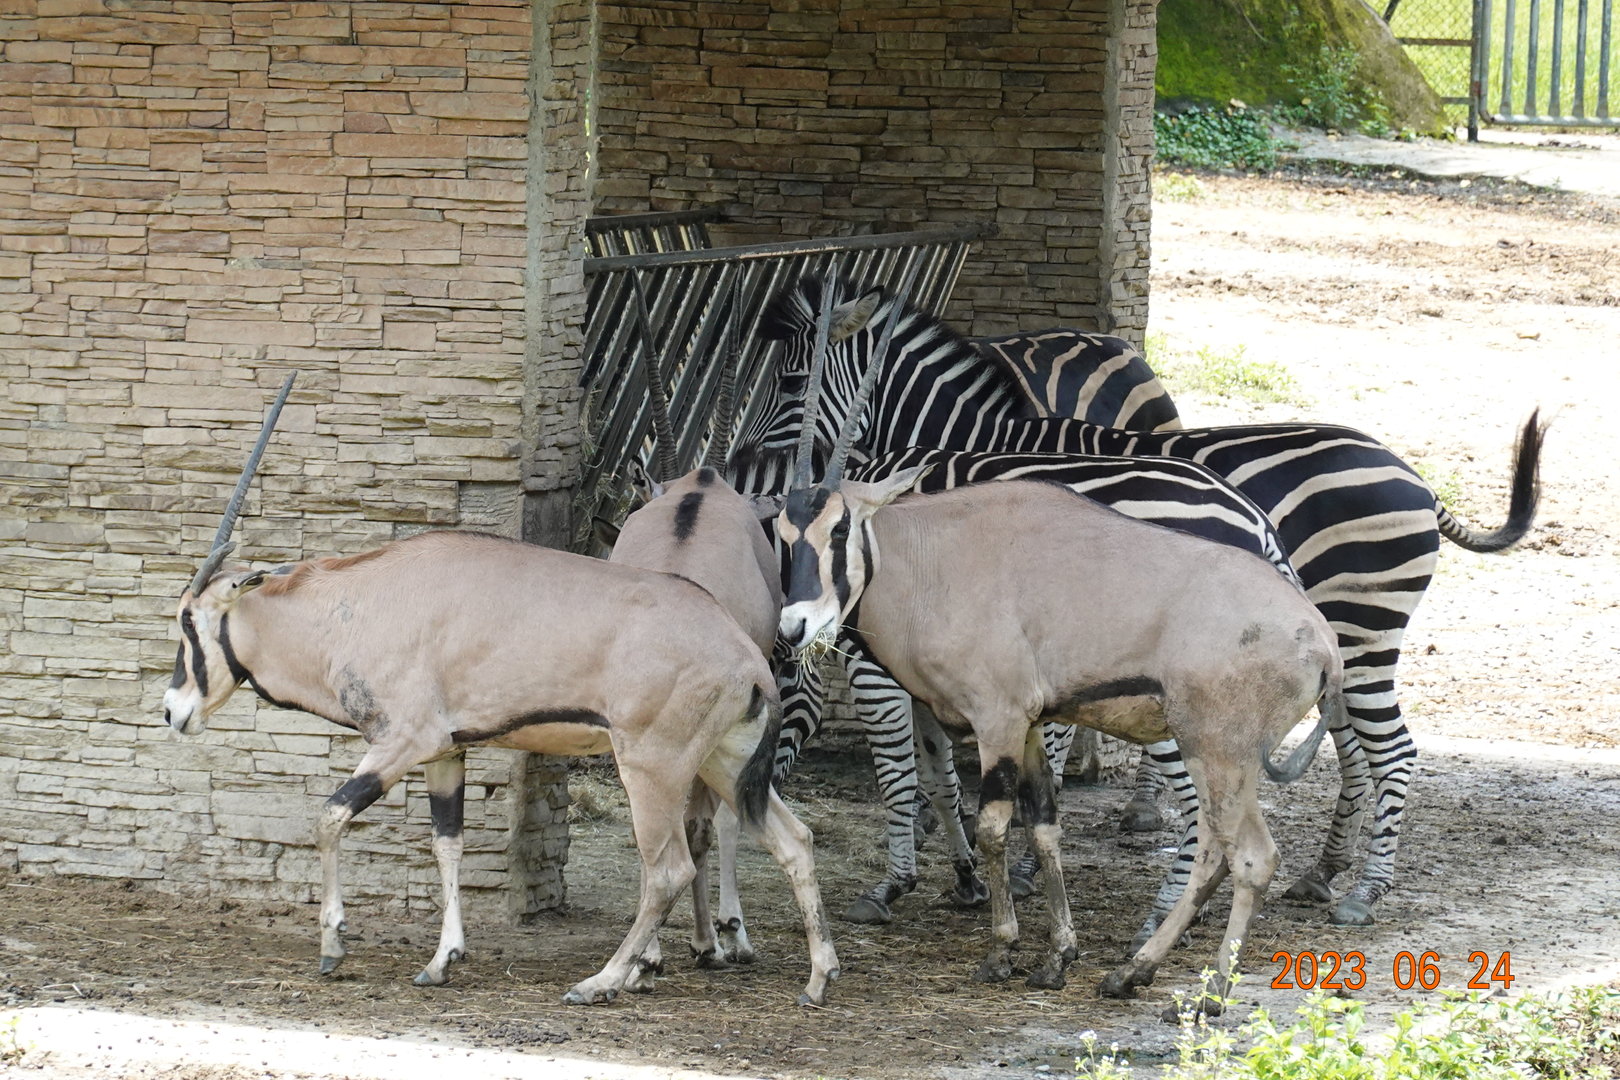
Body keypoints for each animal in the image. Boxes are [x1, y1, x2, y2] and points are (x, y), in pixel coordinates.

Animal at [746, 273, 1546, 927]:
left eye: (791, 378)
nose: (746, 462)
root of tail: (1418, 480)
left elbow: (933, 755)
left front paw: (941, 873)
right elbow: (950, 749)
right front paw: (974, 863)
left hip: (1362, 630)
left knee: (1393, 751)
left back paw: (1363, 891)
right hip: (1337, 645)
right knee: (1354, 748)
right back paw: (1322, 875)